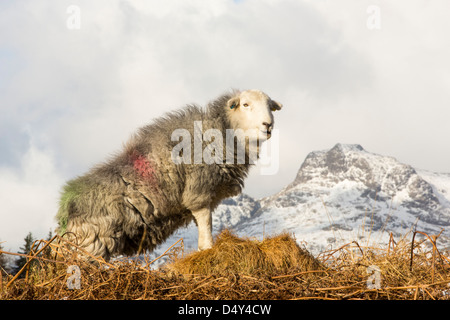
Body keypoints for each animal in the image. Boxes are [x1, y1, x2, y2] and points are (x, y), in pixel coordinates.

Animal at [55, 89, 282, 260]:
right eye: (245, 104)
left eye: (270, 106)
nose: (268, 125)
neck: (222, 131)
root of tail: (65, 208)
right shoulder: (198, 190)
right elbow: (205, 222)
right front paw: (208, 248)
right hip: (91, 242)